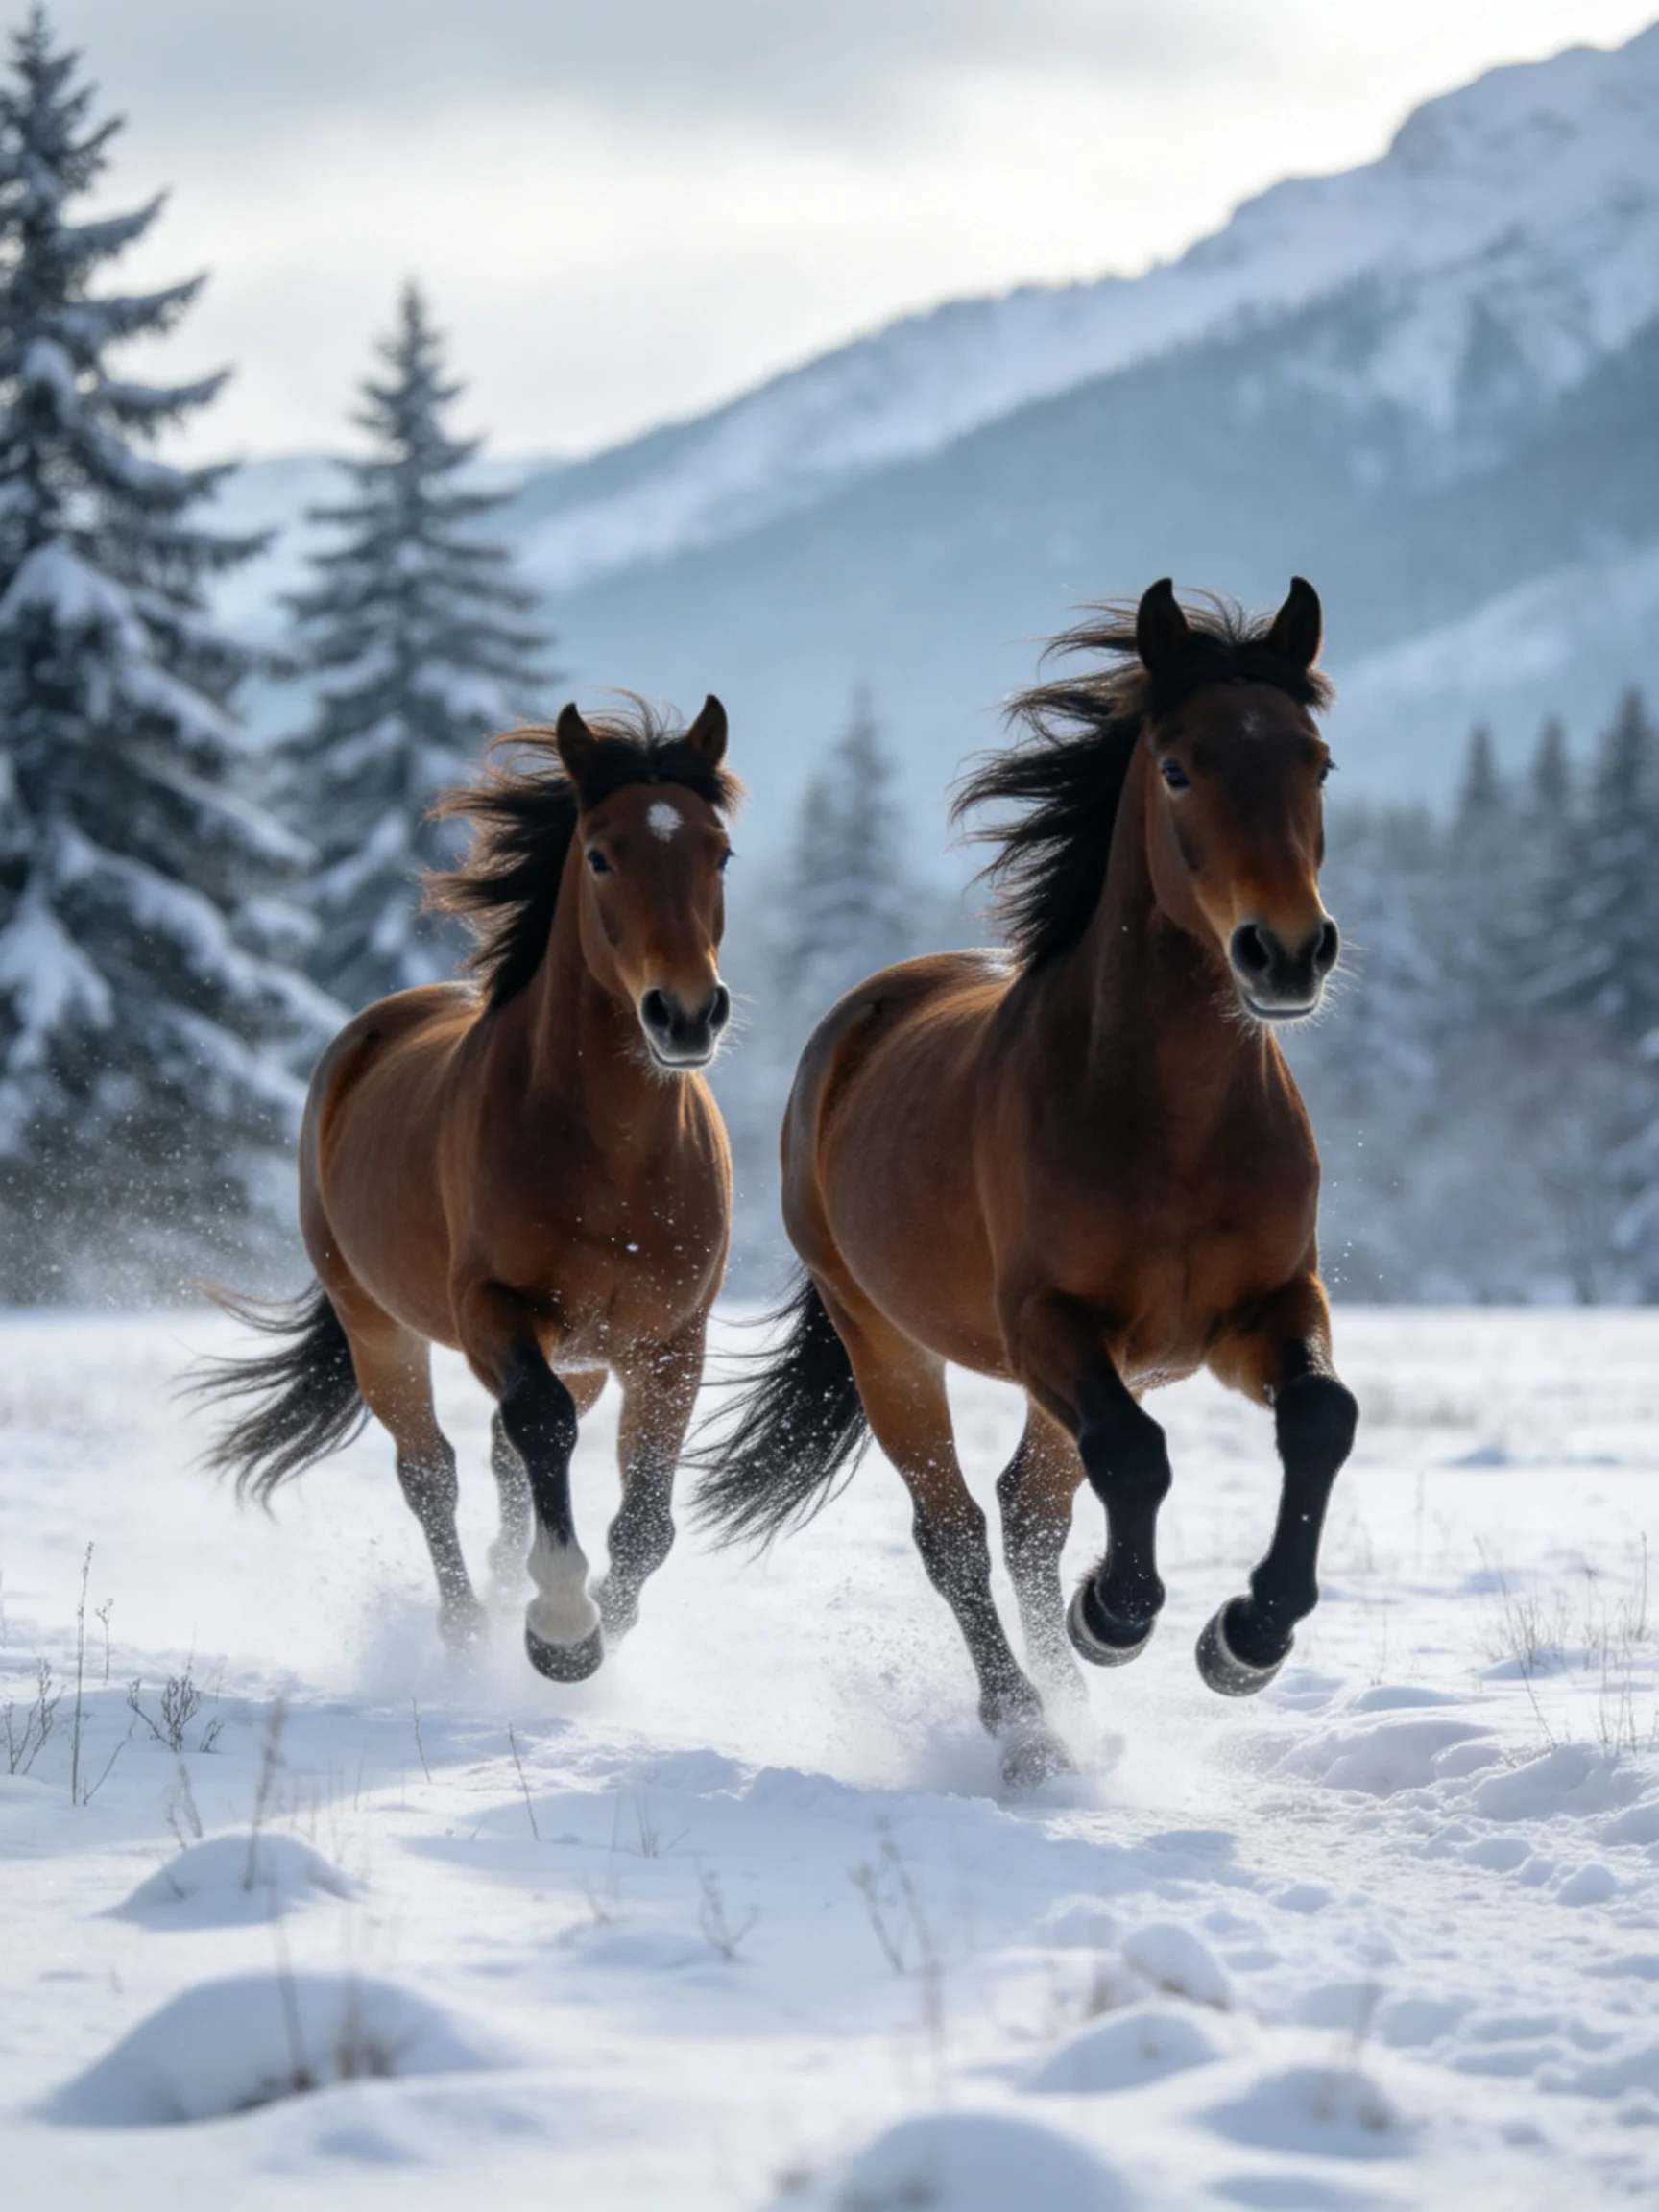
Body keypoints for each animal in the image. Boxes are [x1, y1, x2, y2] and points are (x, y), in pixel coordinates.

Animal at [195, 696, 740, 1682]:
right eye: (600, 855)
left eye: (720, 852)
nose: (685, 1015)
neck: (613, 1157)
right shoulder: (493, 1309)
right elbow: (541, 1427)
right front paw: (561, 1629)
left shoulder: (671, 1340)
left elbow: (644, 1518)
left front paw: (603, 1619)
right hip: (379, 1329)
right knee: (433, 1471)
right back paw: (463, 1628)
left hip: (583, 1353)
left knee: (498, 1460)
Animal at [697, 581, 1357, 1785]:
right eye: (1179, 766)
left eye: (1316, 761)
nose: (1287, 952)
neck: (1174, 1122)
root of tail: (857, 1020)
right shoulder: (1051, 1320)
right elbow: (1135, 1460)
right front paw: (1119, 1615)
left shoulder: (1265, 1307)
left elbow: (1321, 1419)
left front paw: (1246, 1639)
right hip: (889, 1340)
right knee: (956, 1527)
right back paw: (1029, 1730)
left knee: (1028, 1510)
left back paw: (1073, 1709)